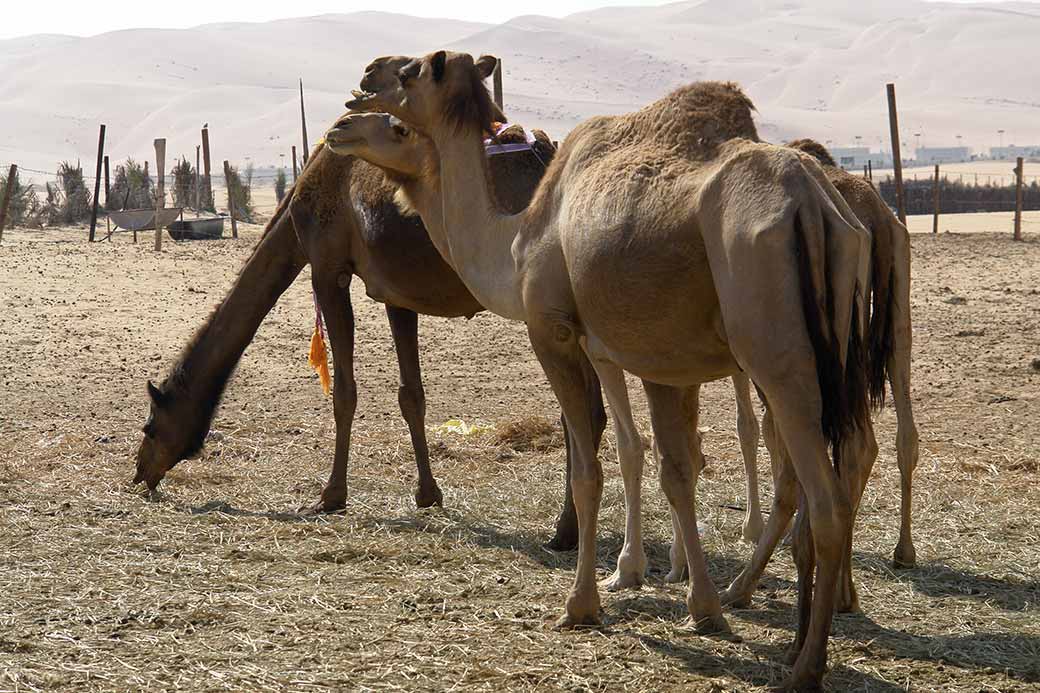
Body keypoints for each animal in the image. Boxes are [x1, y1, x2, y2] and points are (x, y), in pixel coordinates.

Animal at [347, 51, 877, 686]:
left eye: (410, 75)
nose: (360, 88)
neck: (518, 239)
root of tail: (813, 205)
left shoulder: (554, 332)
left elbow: (588, 470)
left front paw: (582, 604)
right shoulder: (645, 354)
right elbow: (666, 464)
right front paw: (690, 600)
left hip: (776, 355)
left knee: (825, 499)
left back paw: (806, 666)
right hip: (835, 348)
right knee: (832, 470)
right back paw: (789, 628)